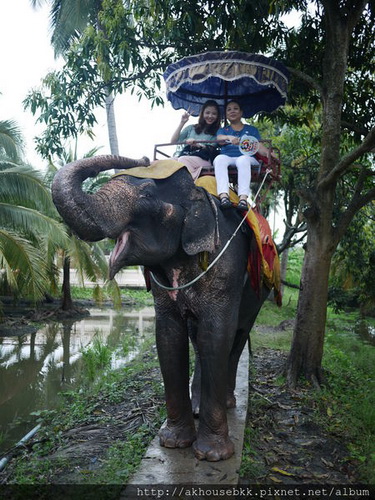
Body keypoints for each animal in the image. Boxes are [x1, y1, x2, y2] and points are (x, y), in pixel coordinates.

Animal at [52, 154, 274, 462]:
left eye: (146, 194)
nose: (145, 158)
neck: (199, 193)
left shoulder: (225, 267)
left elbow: (217, 335)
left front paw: (213, 455)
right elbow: (169, 336)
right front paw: (173, 443)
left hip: (259, 291)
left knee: (238, 335)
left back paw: (229, 403)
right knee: (199, 340)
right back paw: (198, 407)